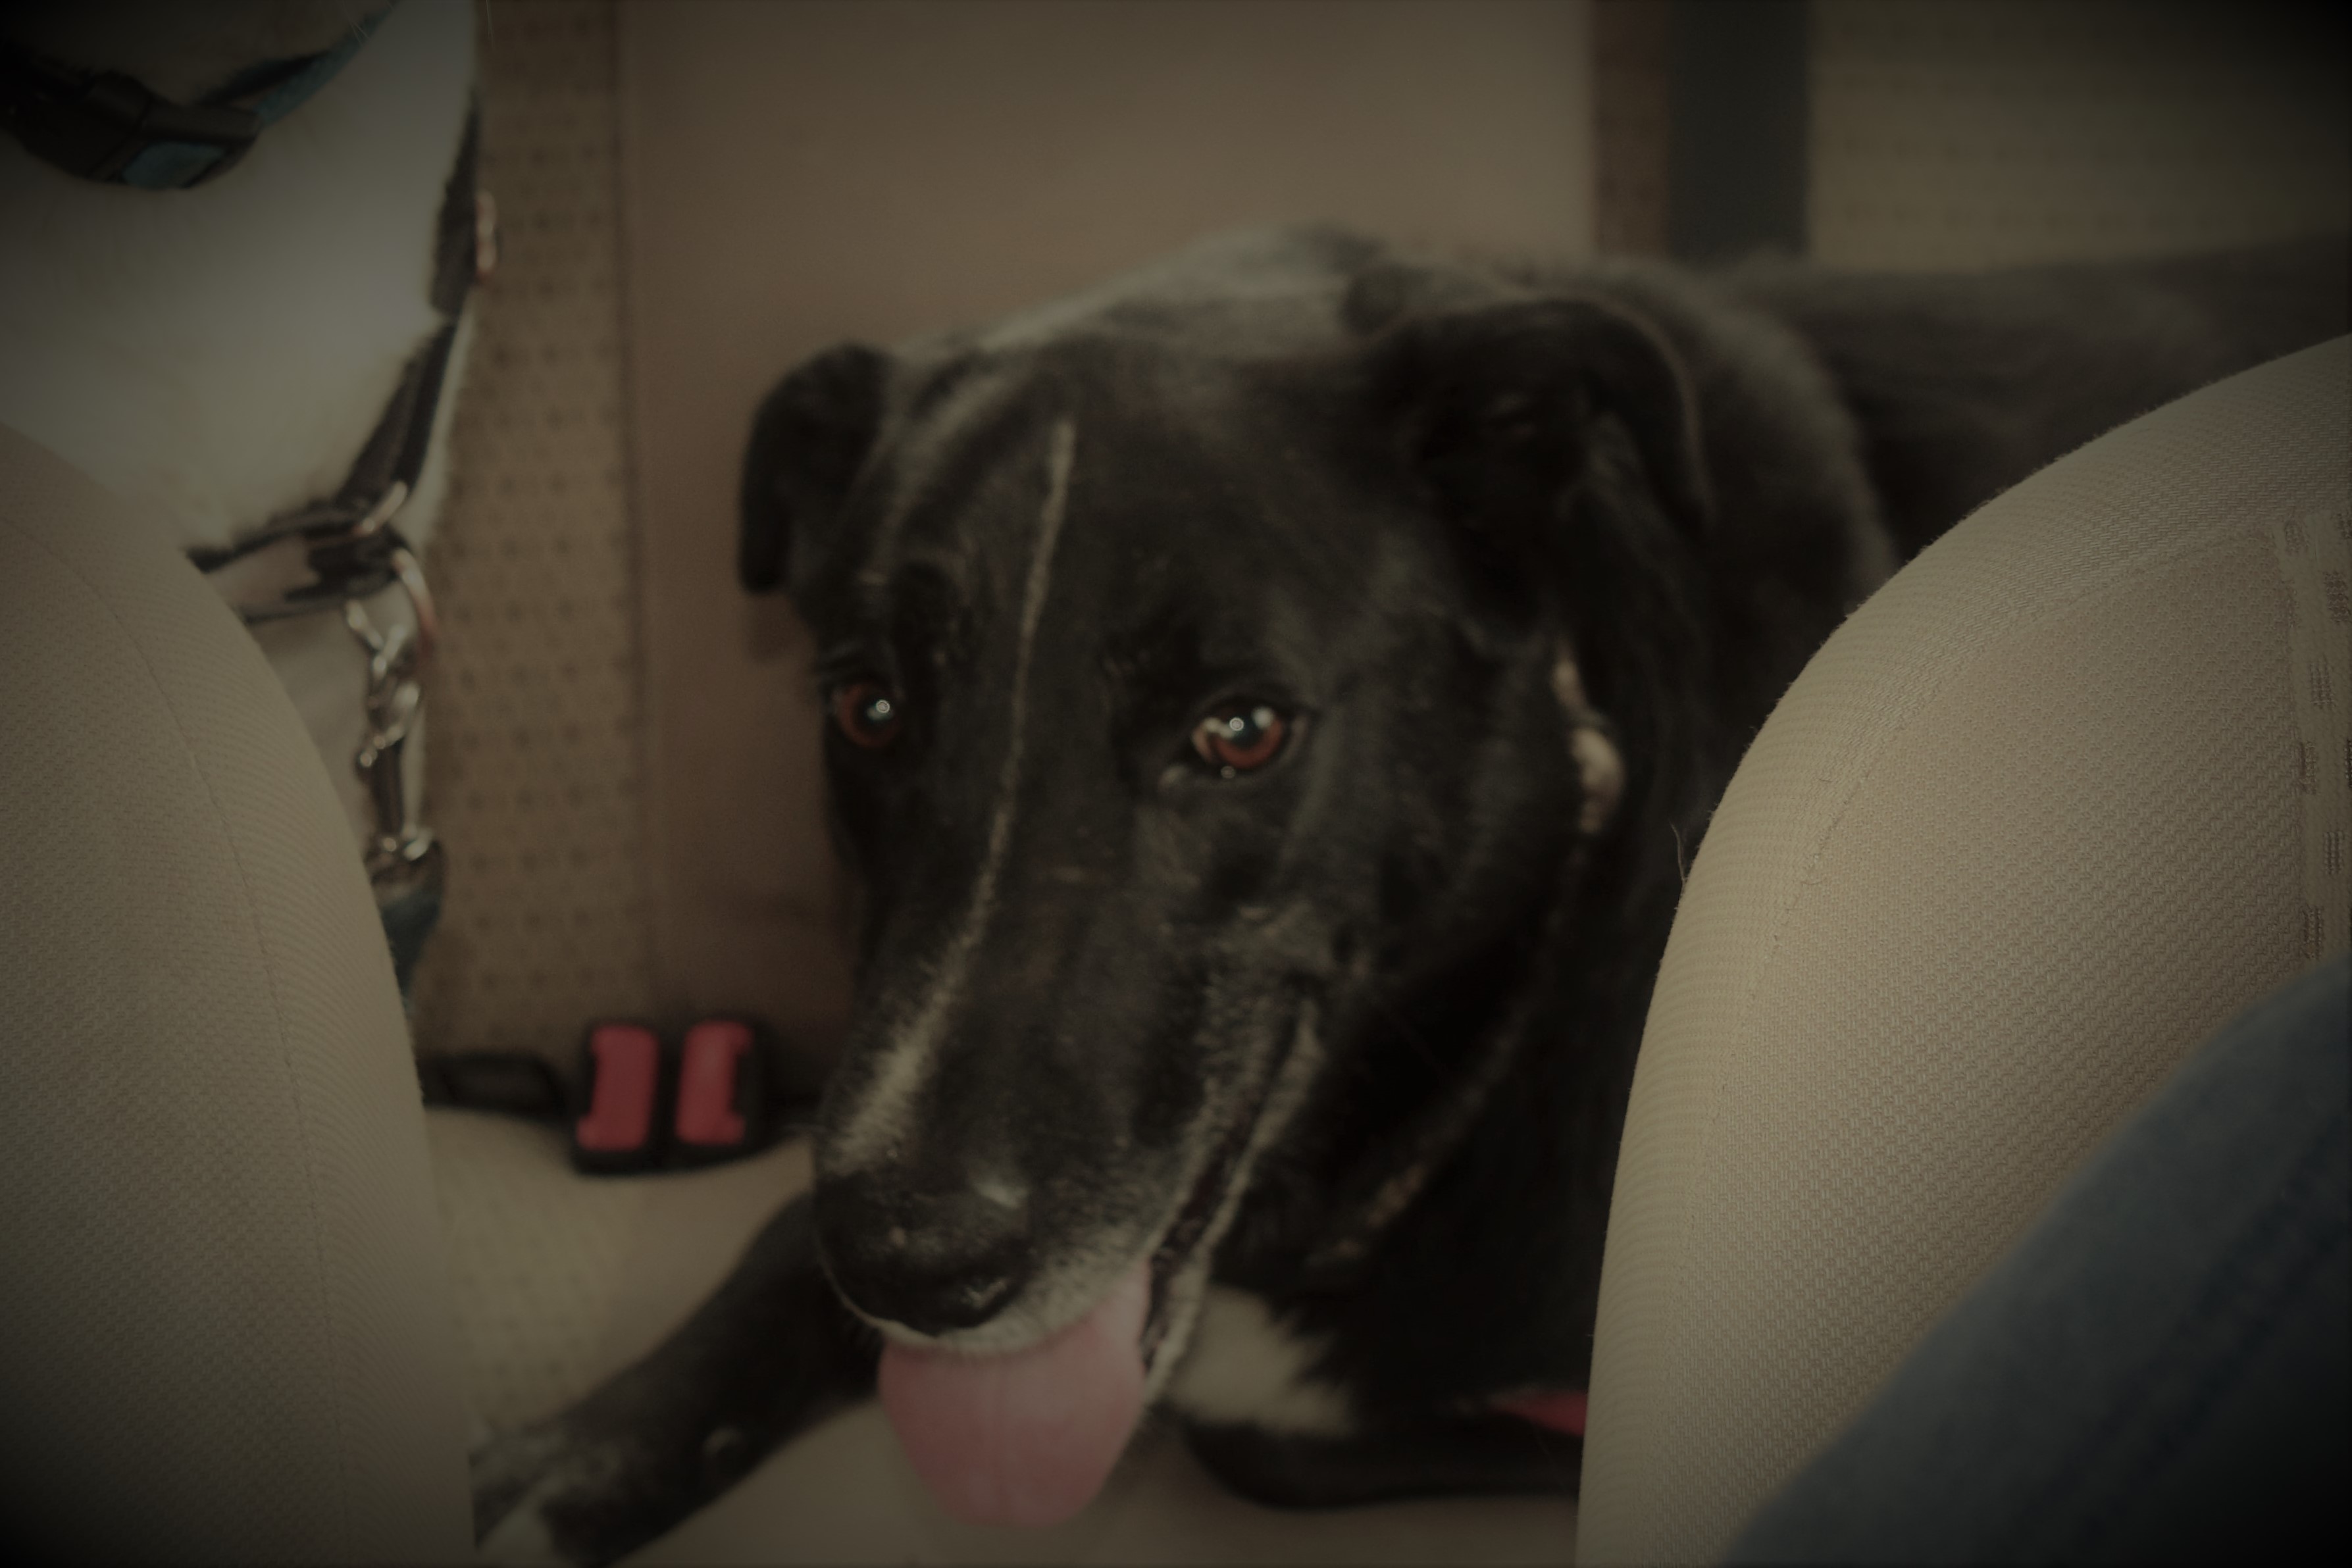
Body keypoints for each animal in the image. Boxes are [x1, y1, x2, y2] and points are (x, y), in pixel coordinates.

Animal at [470, 225, 2347, 1561]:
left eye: (1240, 729)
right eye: (865, 705)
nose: (915, 1264)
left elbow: (1283, 1429)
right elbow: (775, 1239)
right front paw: (572, 1450)